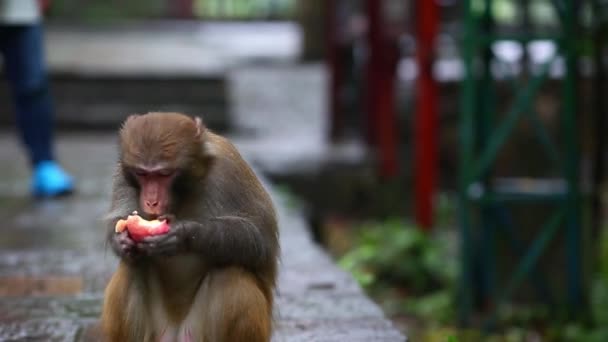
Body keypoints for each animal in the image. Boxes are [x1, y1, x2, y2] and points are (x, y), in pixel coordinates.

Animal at [101, 113, 280, 342]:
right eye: (142, 174)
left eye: (164, 174)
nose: (151, 201)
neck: (185, 192)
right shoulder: (122, 175)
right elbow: (117, 221)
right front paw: (122, 240)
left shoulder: (230, 169)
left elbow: (259, 239)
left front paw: (183, 234)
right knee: (133, 264)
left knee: (229, 271)